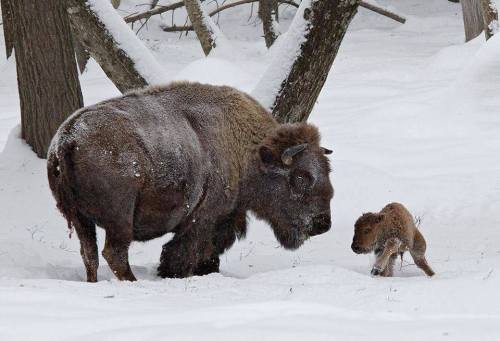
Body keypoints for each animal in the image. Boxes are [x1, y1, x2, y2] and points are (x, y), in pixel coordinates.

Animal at [47, 81, 336, 280]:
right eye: (301, 177)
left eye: (327, 171)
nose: (322, 224)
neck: (248, 151)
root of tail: (67, 139)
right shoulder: (203, 219)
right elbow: (184, 252)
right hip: (120, 220)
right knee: (113, 253)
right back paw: (133, 282)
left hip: (80, 219)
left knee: (90, 254)